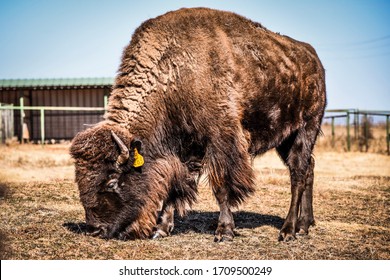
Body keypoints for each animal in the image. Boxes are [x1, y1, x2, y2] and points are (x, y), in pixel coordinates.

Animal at [70, 7, 326, 242]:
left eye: (112, 181)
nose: (95, 230)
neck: (174, 73)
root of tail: (314, 60)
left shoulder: (221, 141)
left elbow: (221, 186)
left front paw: (224, 231)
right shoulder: (183, 150)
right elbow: (176, 186)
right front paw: (161, 229)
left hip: (306, 128)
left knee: (298, 174)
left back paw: (288, 230)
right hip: (285, 138)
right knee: (309, 167)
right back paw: (305, 224)